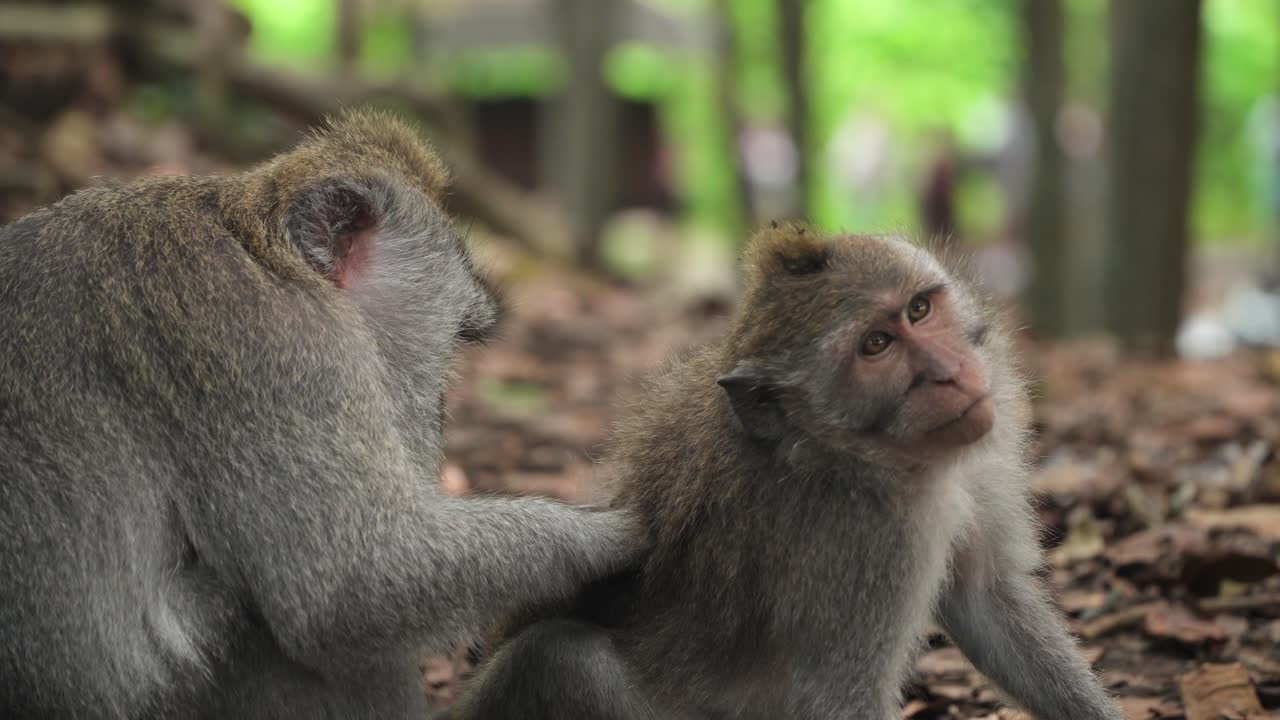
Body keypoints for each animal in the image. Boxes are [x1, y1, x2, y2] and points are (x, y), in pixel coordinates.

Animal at [0, 109, 648, 719]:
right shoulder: (273, 345)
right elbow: (348, 587)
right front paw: (618, 536)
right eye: (456, 342)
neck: (264, 252)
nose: (440, 415)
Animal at [446, 225, 1125, 720]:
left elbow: (986, 596)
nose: (949, 374)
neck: (852, 455)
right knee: (558, 661)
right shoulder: (863, 544)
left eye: (920, 309)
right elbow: (841, 703)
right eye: (875, 346)